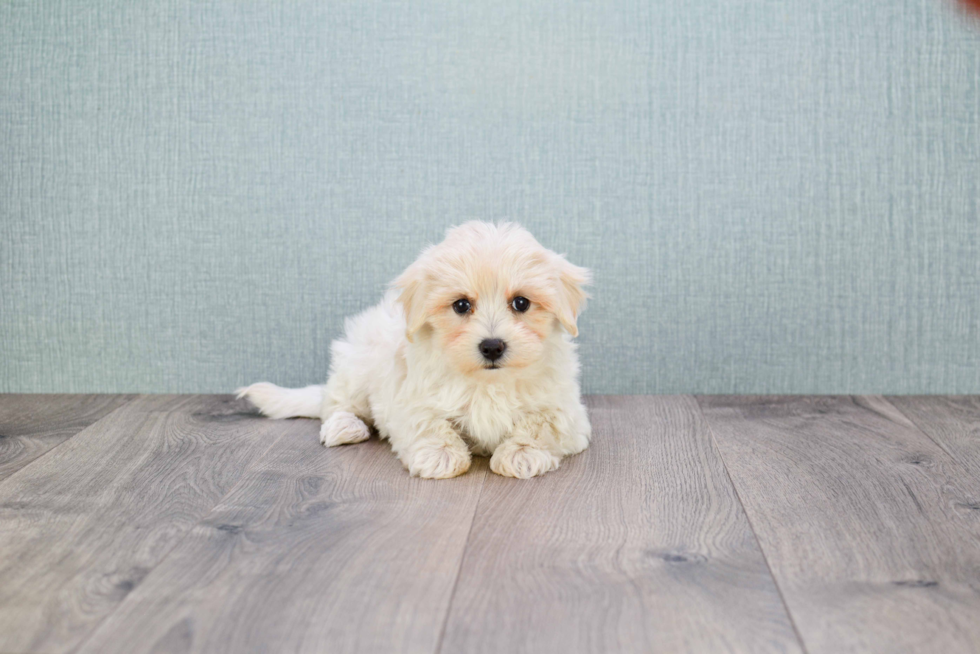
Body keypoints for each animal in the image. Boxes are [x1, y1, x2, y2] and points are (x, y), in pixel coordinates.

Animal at [239, 223, 588, 480]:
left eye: (521, 302)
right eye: (461, 305)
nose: (492, 346)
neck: (487, 382)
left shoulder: (566, 407)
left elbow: (543, 423)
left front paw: (522, 453)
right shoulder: (410, 398)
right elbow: (428, 422)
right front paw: (441, 454)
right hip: (355, 365)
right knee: (337, 404)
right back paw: (345, 426)